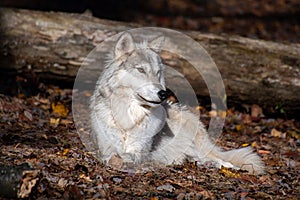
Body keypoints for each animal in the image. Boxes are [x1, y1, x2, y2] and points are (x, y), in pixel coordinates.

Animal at [89, 32, 264, 174]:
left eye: (158, 73)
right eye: (141, 70)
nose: (163, 93)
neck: (129, 116)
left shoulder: (140, 150)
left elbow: (129, 155)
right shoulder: (106, 144)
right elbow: (111, 153)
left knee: (221, 160)